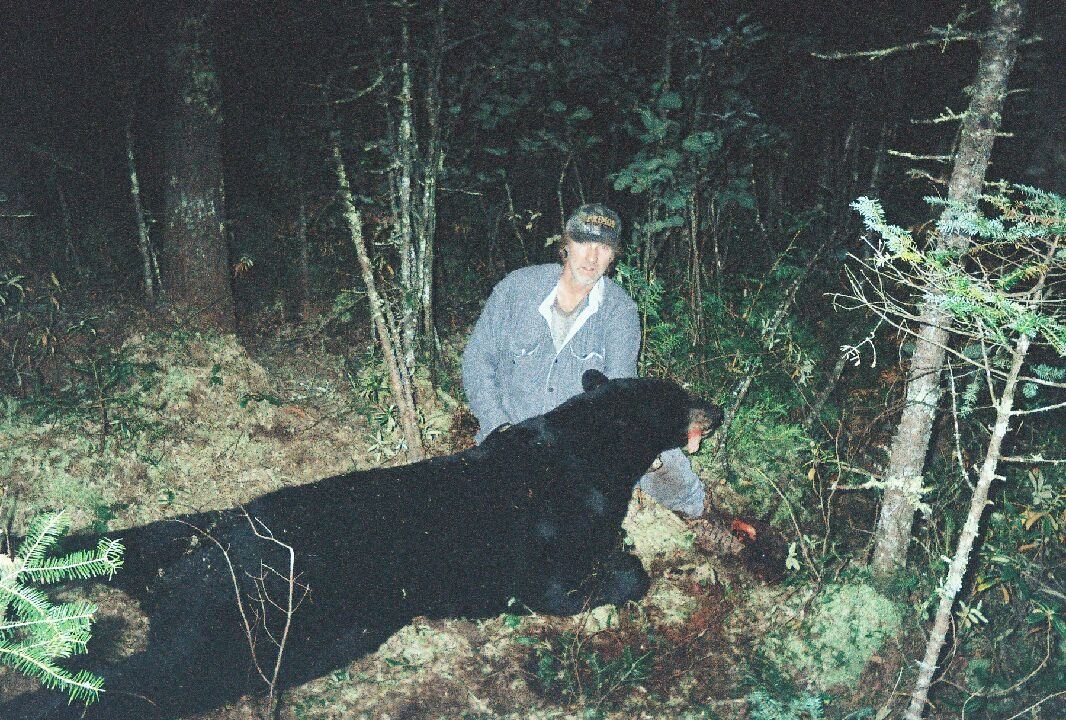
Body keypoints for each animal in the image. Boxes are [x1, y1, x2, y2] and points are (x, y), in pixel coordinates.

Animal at [1, 369, 721, 720]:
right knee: (150, 680)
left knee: (123, 542)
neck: (590, 452)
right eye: (680, 396)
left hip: (191, 531)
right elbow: (568, 581)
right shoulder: (539, 547)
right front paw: (629, 562)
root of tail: (198, 561)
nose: (717, 407)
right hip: (246, 623)